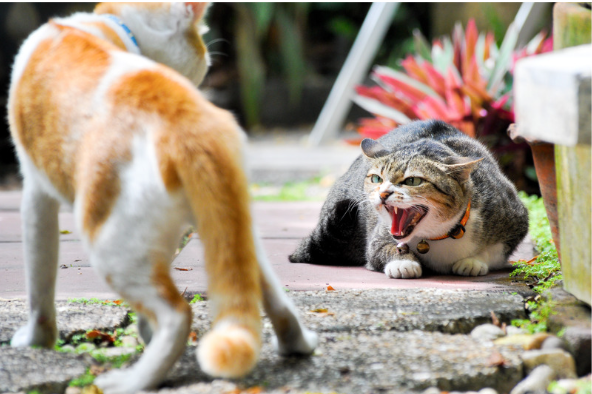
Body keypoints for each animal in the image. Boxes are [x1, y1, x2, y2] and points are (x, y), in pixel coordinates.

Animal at [9, 2, 316, 390]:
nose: (208, 62)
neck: (107, 25)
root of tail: (191, 122)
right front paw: (143, 330)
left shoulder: (35, 192)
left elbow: (39, 285)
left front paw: (37, 342)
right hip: (228, 224)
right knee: (268, 292)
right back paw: (296, 344)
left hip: (111, 244)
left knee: (177, 314)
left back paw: (132, 381)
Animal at [290, 121, 528, 278]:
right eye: (376, 178)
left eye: (413, 181)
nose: (383, 193)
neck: (437, 236)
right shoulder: (377, 237)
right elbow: (380, 250)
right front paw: (403, 263)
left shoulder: (516, 216)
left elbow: (496, 251)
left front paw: (473, 261)